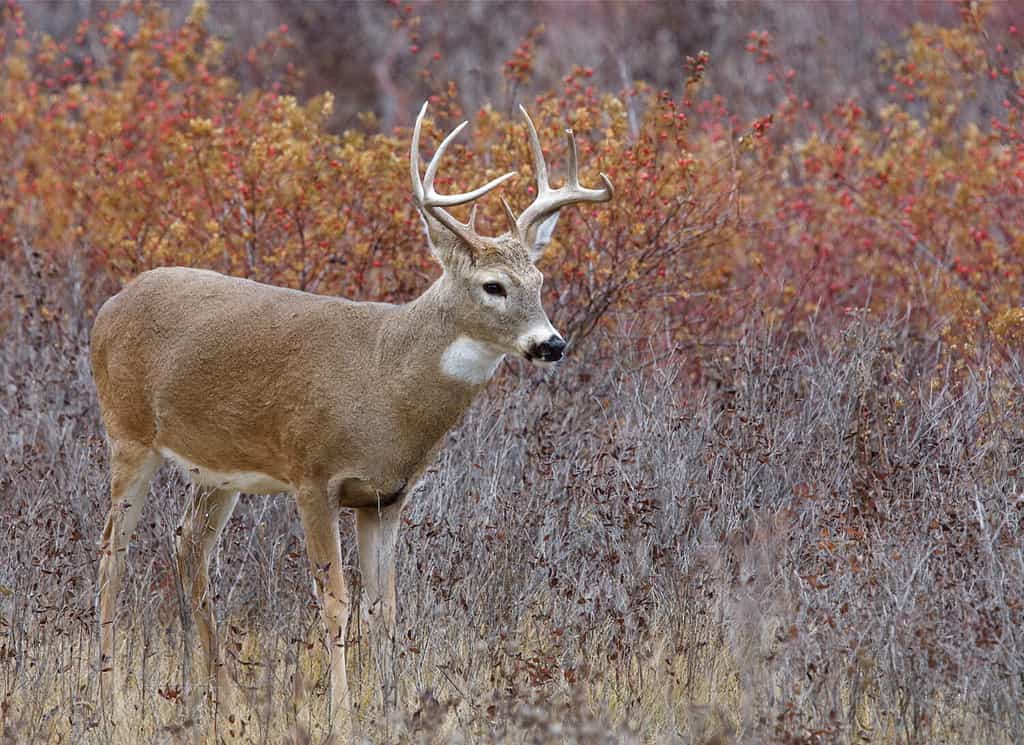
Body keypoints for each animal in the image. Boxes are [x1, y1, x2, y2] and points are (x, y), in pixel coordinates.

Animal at [90, 101, 606, 724]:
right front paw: (339, 712)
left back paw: (223, 699)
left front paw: (394, 707)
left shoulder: (386, 497)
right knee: (111, 555)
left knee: (189, 548)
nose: (552, 343)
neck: (384, 384)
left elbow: (384, 608)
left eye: (540, 280)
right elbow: (335, 601)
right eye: (493, 285)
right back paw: (110, 696)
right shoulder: (313, 475)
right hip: (128, 434)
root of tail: (110, 305)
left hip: (217, 469)